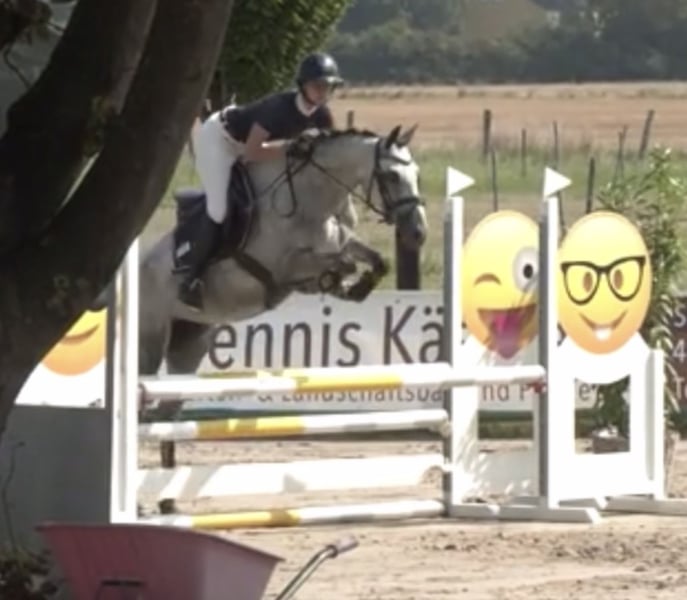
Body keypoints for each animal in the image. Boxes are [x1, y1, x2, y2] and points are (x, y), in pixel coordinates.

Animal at [137, 124, 428, 378]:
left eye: (417, 173)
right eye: (392, 176)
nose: (418, 233)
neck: (315, 200)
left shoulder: (341, 242)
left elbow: (378, 260)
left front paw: (357, 288)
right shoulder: (285, 266)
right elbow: (344, 264)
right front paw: (334, 282)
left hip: (190, 341)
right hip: (150, 338)